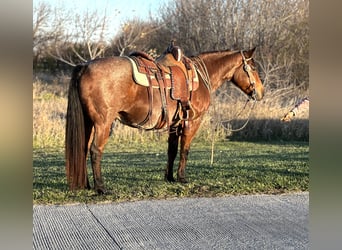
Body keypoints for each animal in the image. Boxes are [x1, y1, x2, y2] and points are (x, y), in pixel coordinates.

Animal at [66, 47, 264, 195]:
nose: (261, 93)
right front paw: (182, 177)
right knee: (95, 151)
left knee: (83, 149)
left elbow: (172, 151)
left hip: (89, 122)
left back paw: (86, 184)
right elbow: (185, 150)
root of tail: (85, 66)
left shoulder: (175, 125)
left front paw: (169, 177)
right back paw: (101, 187)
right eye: (253, 68)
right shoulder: (192, 122)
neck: (200, 76)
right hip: (103, 123)